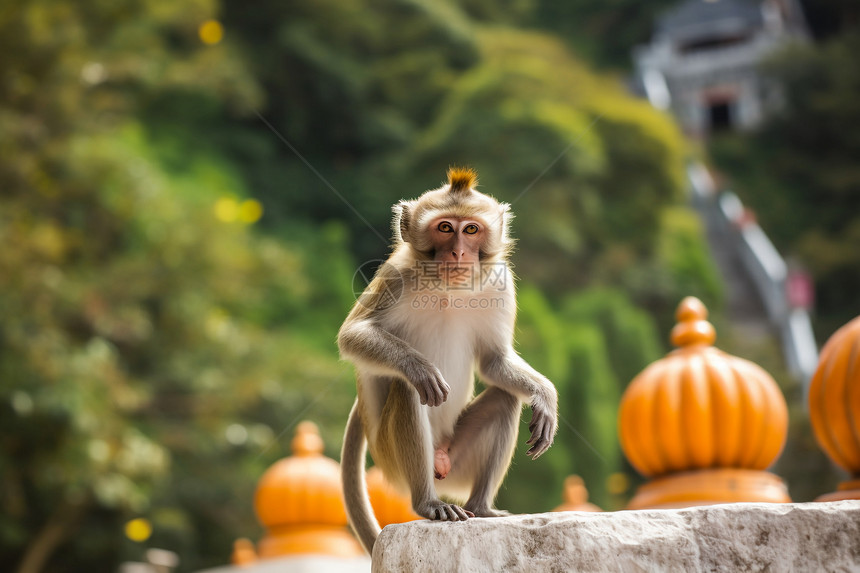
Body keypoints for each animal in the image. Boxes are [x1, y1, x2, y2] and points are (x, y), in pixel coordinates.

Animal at [336, 166, 556, 556]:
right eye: (443, 228)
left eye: (470, 230)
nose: (457, 253)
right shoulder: (396, 274)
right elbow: (352, 335)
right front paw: (419, 367)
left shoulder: (501, 284)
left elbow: (494, 362)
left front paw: (545, 397)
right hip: (392, 464)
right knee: (409, 391)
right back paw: (428, 503)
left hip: (456, 463)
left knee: (506, 398)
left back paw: (481, 507)